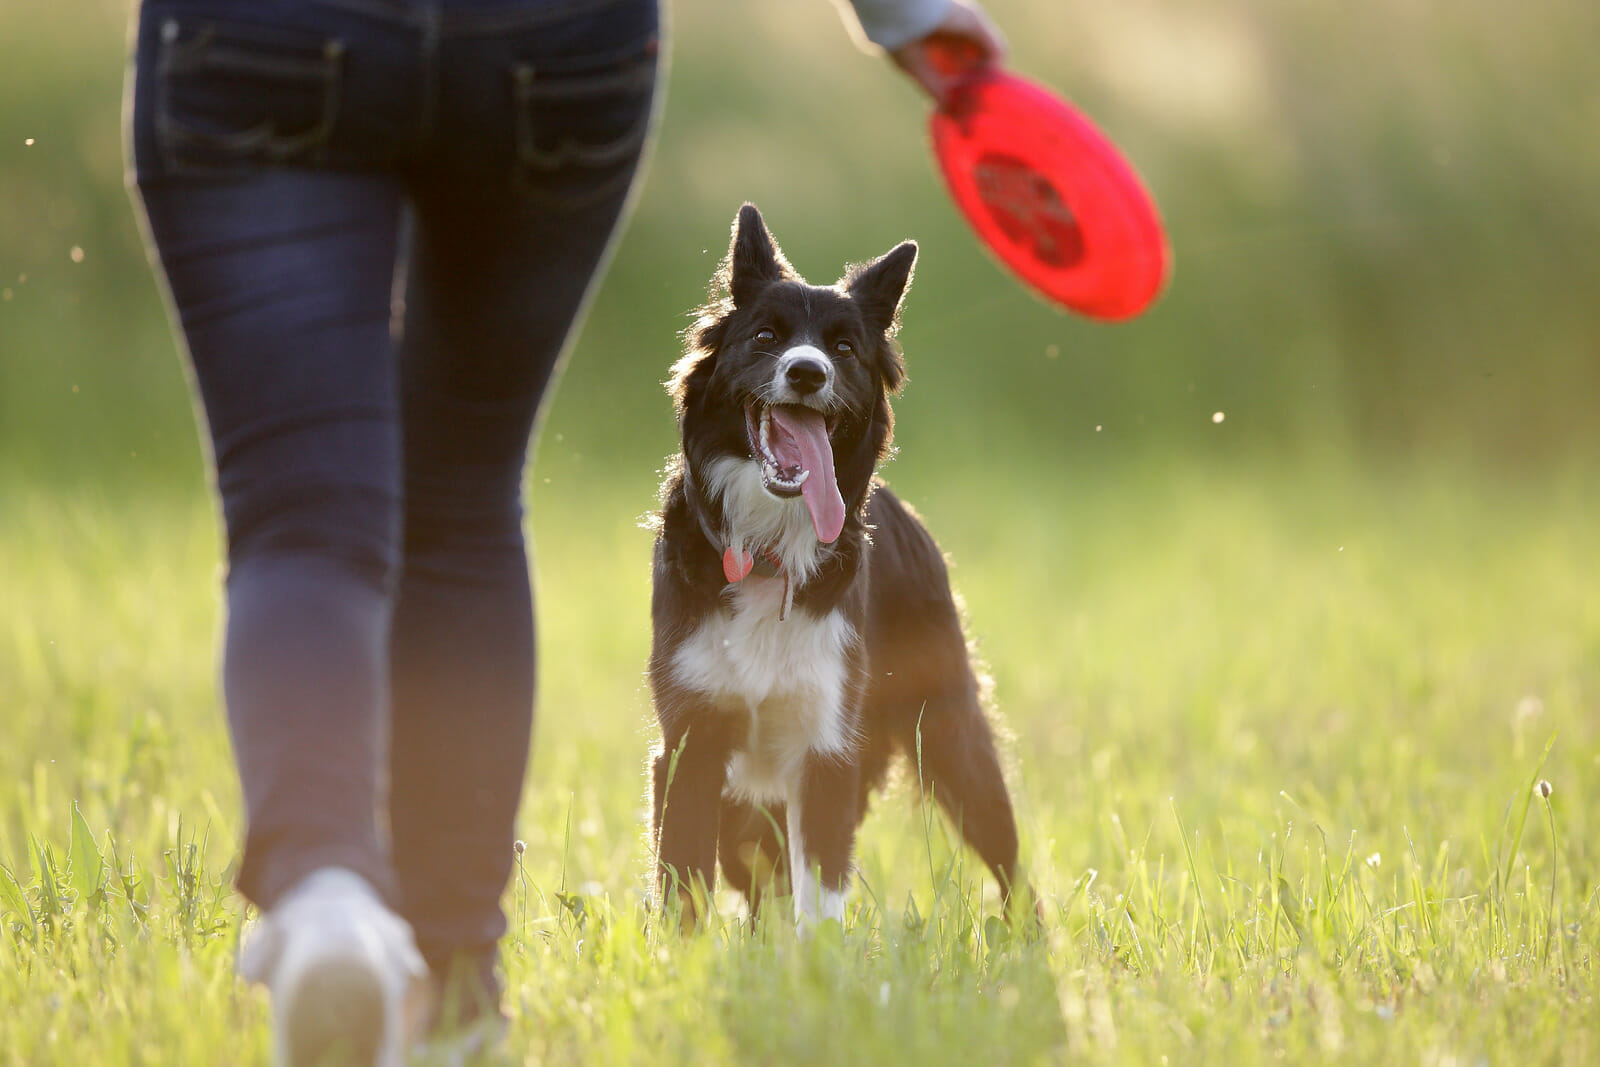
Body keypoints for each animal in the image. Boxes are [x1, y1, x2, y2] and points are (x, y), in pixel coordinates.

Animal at [646, 202, 1024, 927]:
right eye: (765, 336)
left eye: (844, 349)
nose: (807, 372)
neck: (768, 552)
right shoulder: (689, 742)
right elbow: (686, 891)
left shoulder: (826, 748)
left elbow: (818, 903)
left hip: (952, 733)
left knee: (1010, 861)